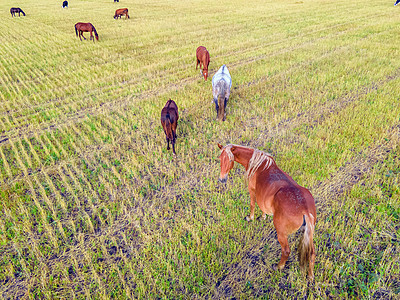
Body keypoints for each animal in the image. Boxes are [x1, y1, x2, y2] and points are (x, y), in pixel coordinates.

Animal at [217, 144, 318, 280]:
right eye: (220, 159)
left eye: (230, 160)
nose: (222, 179)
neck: (259, 164)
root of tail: (305, 210)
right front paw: (263, 217)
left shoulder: (252, 190)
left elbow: (253, 204)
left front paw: (251, 218)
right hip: (308, 234)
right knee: (311, 253)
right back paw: (310, 276)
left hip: (281, 233)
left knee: (286, 250)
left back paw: (278, 267)